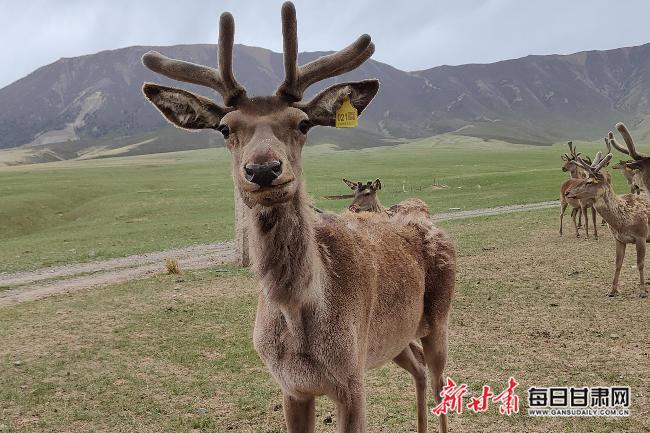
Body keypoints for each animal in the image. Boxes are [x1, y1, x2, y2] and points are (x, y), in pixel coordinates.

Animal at [140, 3, 456, 433]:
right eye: (224, 128)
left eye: (302, 123)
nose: (263, 169)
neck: (297, 315)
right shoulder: (291, 386)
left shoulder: (352, 380)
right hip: (396, 338)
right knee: (420, 370)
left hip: (438, 318)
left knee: (441, 380)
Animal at [567, 151, 649, 298]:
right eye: (584, 177)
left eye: (589, 182)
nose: (567, 192)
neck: (622, 220)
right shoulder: (618, 239)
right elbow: (618, 264)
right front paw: (612, 290)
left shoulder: (641, 235)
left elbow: (640, 264)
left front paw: (642, 291)